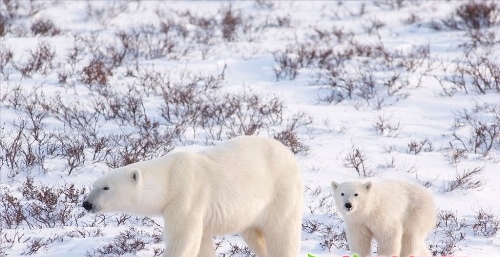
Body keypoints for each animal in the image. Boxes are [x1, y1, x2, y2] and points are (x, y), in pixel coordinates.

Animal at [83, 135, 300, 255]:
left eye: (106, 188)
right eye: (93, 186)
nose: (86, 204)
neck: (169, 177)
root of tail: (287, 152)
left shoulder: (187, 196)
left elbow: (183, 239)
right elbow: (201, 243)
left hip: (280, 193)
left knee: (282, 235)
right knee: (255, 236)